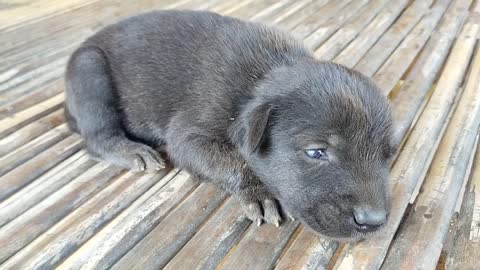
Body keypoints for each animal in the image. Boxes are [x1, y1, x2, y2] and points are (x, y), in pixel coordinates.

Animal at [65, 10, 400, 238]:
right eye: (316, 152)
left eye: (388, 156)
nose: (373, 221)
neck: (265, 73)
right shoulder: (188, 136)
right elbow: (233, 161)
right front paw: (260, 194)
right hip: (88, 71)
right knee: (96, 136)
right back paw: (130, 150)